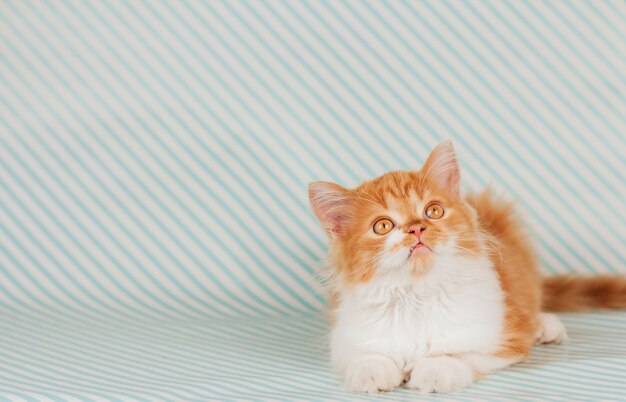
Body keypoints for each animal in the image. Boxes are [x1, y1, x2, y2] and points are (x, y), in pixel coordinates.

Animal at [308, 141, 624, 392]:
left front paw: (436, 369)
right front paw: (371, 370)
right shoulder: (346, 336)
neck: (416, 292)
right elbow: (365, 355)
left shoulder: (502, 336)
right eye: (383, 226)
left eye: (434, 211)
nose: (417, 229)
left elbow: (462, 353)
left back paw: (545, 326)